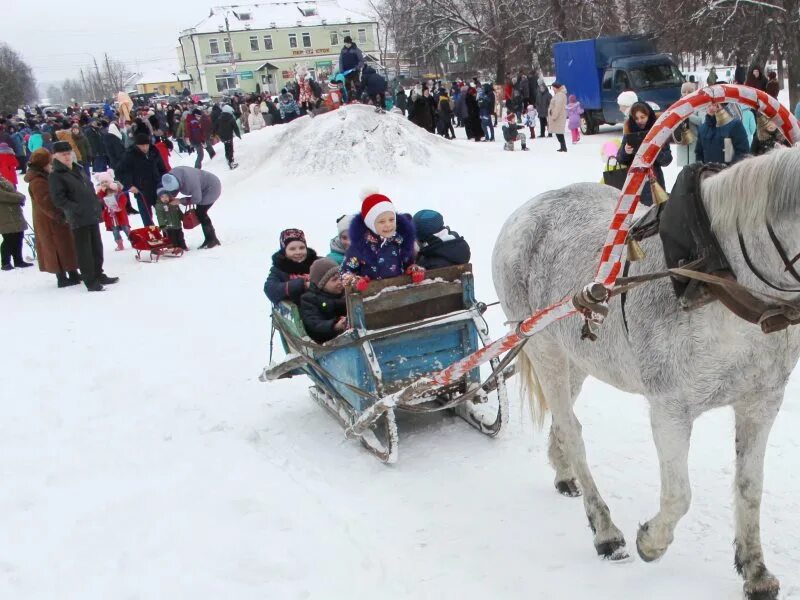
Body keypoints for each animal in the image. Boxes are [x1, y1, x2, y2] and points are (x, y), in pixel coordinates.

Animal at [490, 146, 800, 600]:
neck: (717, 277)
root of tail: (527, 211)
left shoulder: (762, 402)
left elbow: (749, 488)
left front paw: (755, 572)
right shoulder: (670, 409)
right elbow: (679, 496)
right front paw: (650, 542)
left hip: (576, 357)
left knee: (564, 421)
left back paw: (564, 473)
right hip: (545, 348)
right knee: (572, 431)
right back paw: (605, 531)